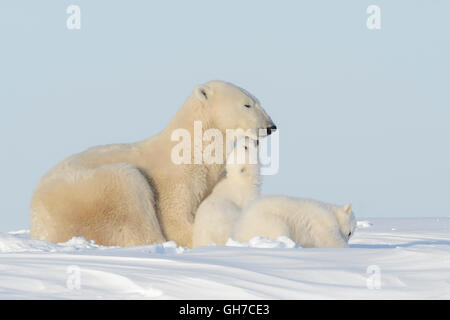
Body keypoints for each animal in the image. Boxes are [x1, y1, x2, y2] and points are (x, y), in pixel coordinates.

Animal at [29, 80, 276, 248]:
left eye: (258, 101)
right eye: (247, 104)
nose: (271, 126)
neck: (192, 149)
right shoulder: (175, 182)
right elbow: (176, 220)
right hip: (89, 191)